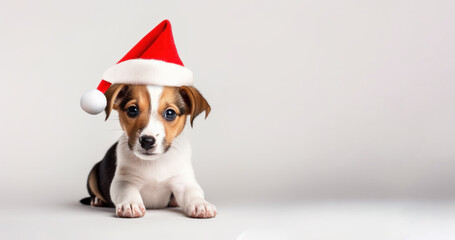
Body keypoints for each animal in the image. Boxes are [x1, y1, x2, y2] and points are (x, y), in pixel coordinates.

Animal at [80, 83, 217, 218]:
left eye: (170, 113)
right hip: (93, 173)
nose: (147, 141)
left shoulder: (183, 181)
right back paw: (97, 200)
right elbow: (128, 191)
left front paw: (200, 204)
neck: (155, 161)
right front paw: (130, 204)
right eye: (132, 110)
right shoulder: (124, 180)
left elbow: (193, 193)